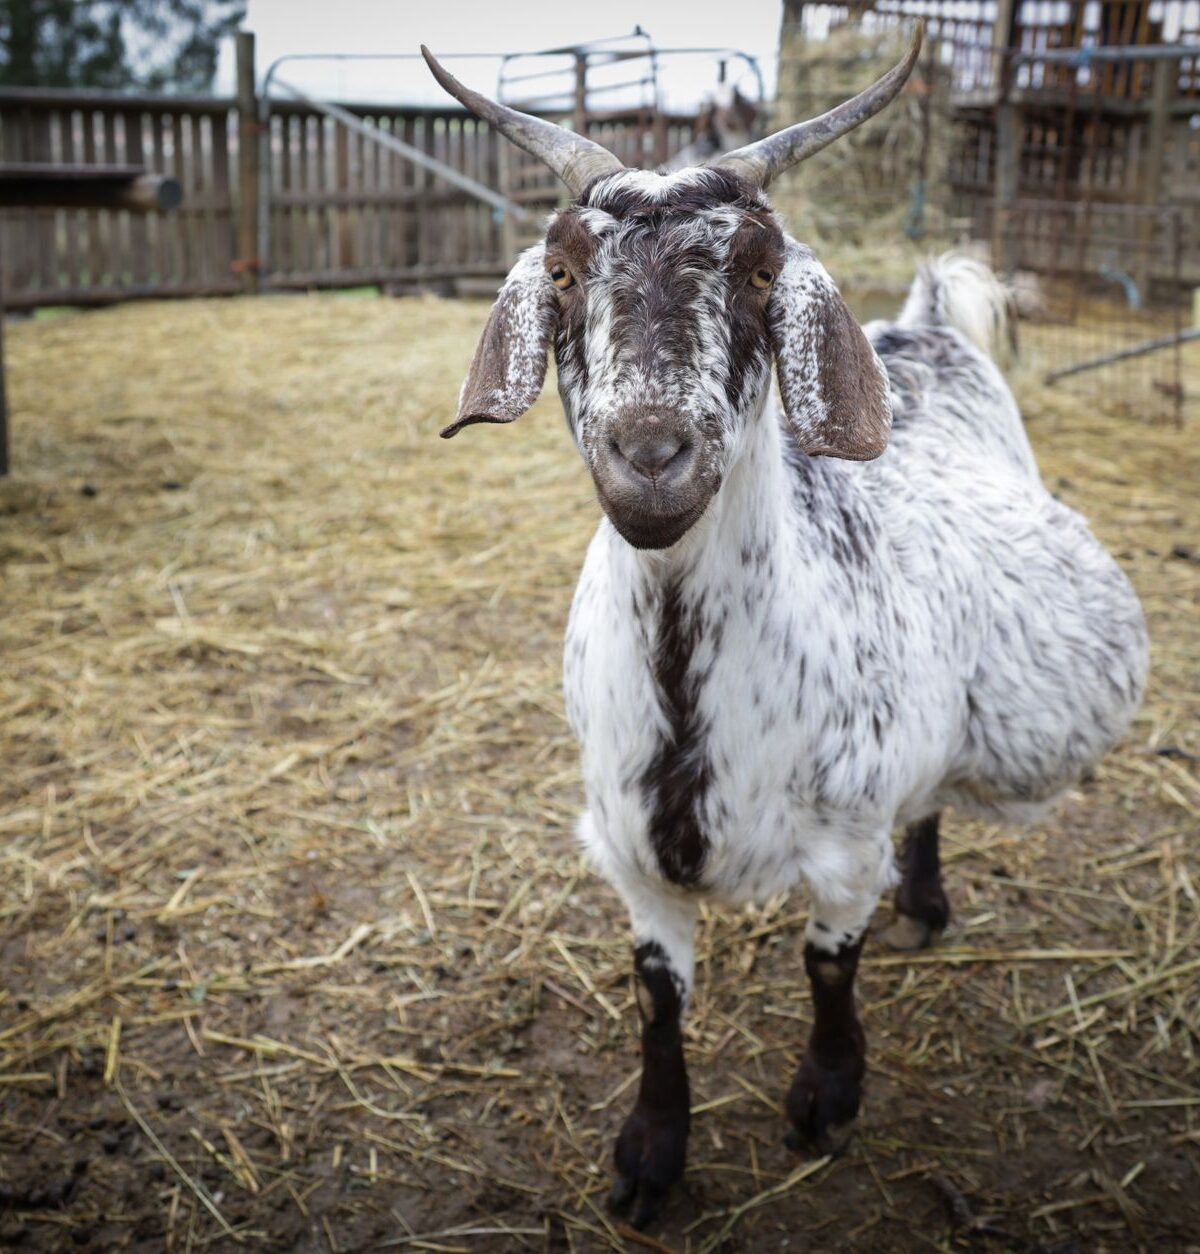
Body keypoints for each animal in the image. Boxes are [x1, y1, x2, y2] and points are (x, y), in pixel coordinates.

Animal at [423, 29, 1148, 1228]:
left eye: (762, 272)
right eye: (564, 272)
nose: (652, 454)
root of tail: (926, 329)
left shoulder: (847, 838)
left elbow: (829, 963)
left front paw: (826, 1100)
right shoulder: (630, 857)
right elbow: (657, 1001)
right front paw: (648, 1159)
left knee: (928, 806)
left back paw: (927, 904)